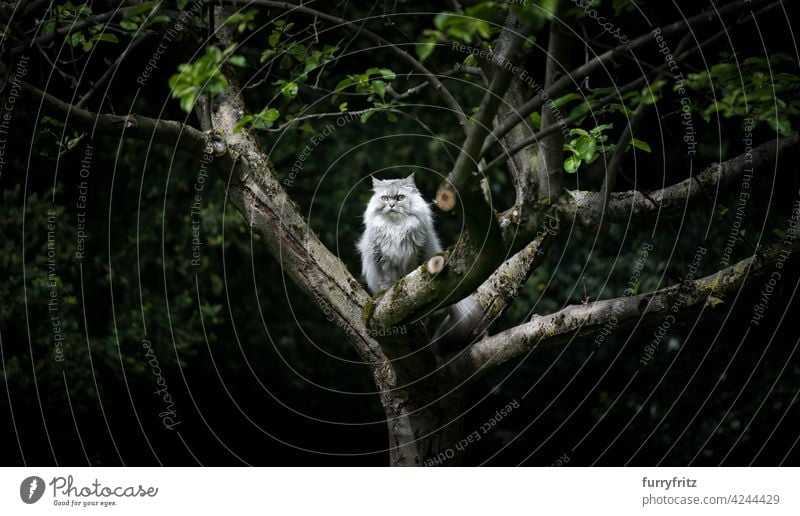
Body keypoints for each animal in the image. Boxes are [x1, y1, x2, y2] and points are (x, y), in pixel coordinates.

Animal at [360, 175, 478, 348]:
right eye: (385, 198)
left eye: (400, 198)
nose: (391, 205)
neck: (395, 228)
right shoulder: (381, 261)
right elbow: (387, 285)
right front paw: (386, 297)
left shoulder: (417, 258)